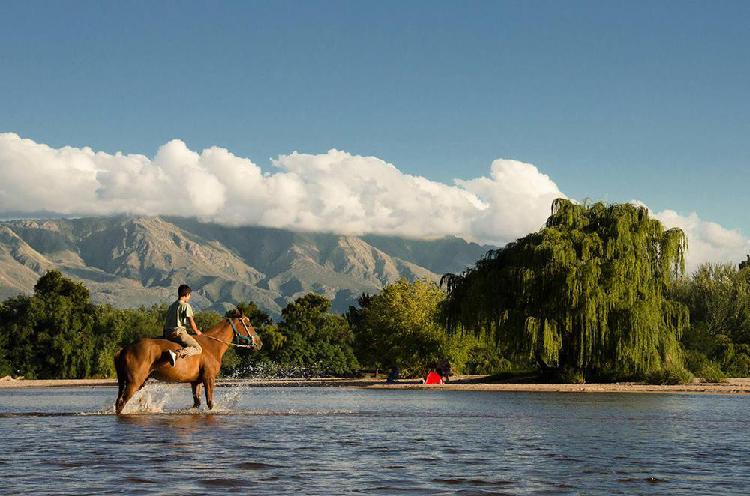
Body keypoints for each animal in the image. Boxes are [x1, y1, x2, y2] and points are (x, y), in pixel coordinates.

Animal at [113, 310, 262, 414]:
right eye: (248, 324)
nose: (260, 343)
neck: (212, 345)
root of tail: (125, 349)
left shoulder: (196, 382)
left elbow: (197, 403)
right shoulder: (209, 378)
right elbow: (210, 402)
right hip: (134, 382)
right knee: (121, 402)